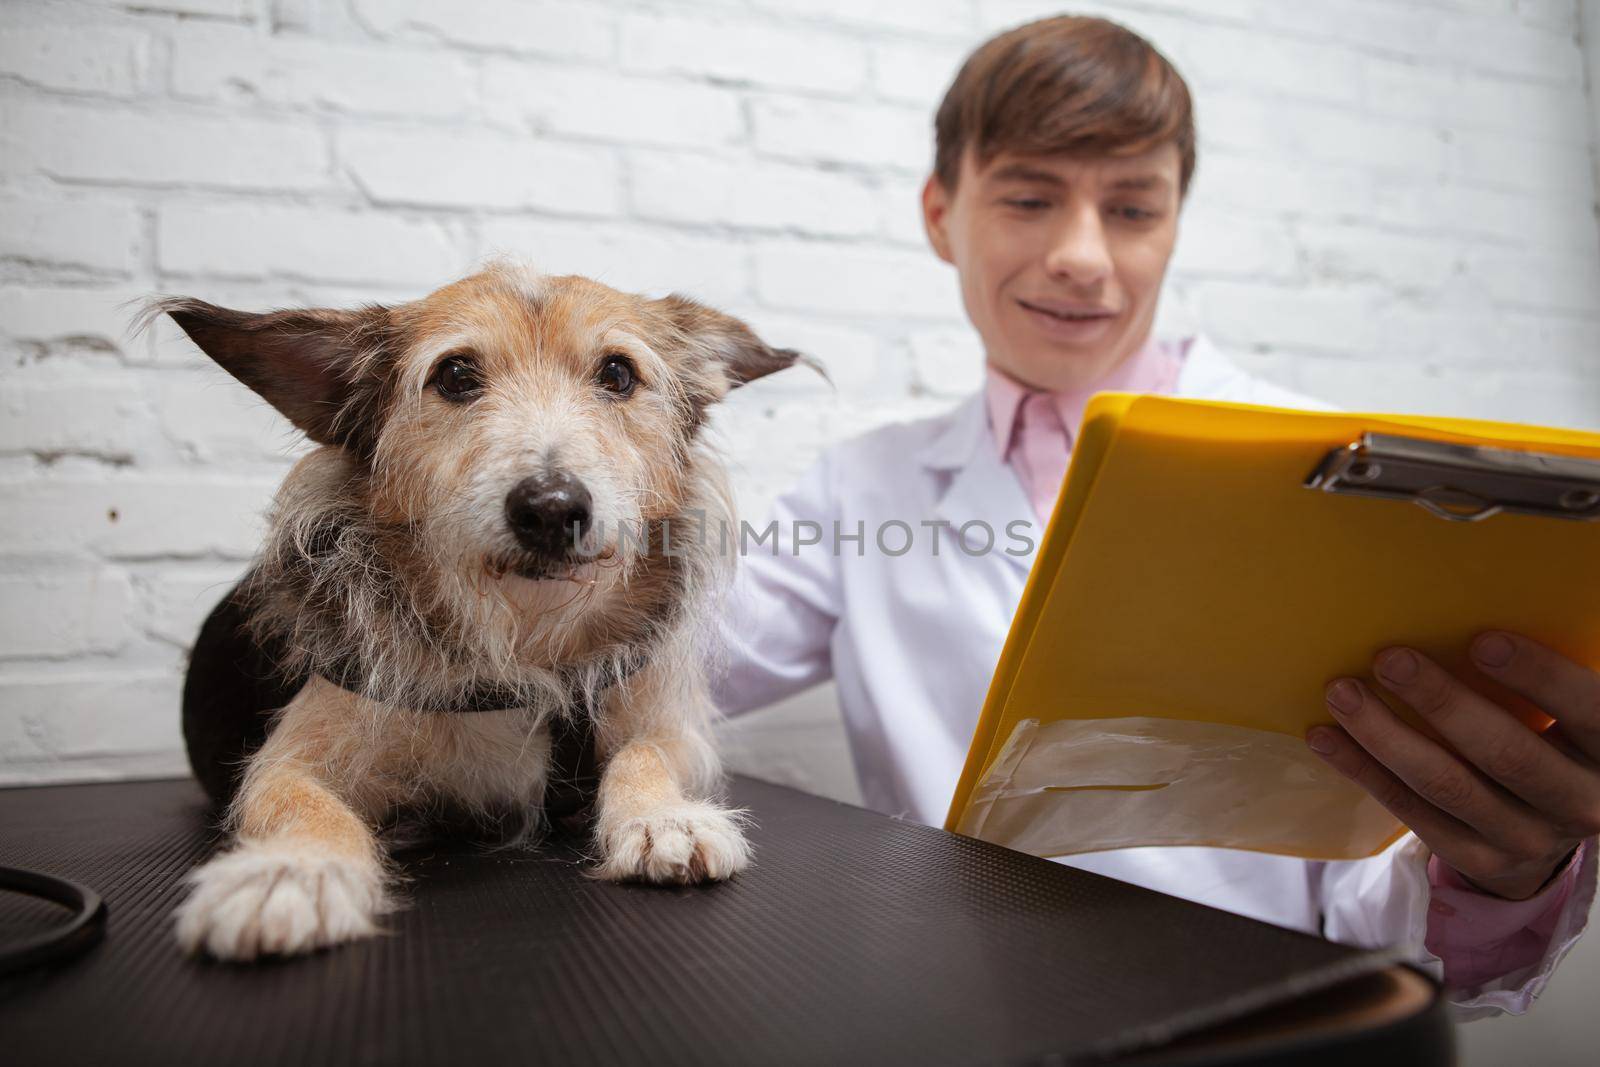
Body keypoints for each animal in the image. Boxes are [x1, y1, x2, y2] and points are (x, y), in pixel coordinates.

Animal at [152, 265, 812, 959]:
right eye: (456, 375)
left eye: (618, 373)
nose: (551, 508)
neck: (524, 639)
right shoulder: (290, 757)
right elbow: (299, 803)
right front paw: (293, 871)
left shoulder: (667, 725)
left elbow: (644, 756)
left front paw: (664, 817)